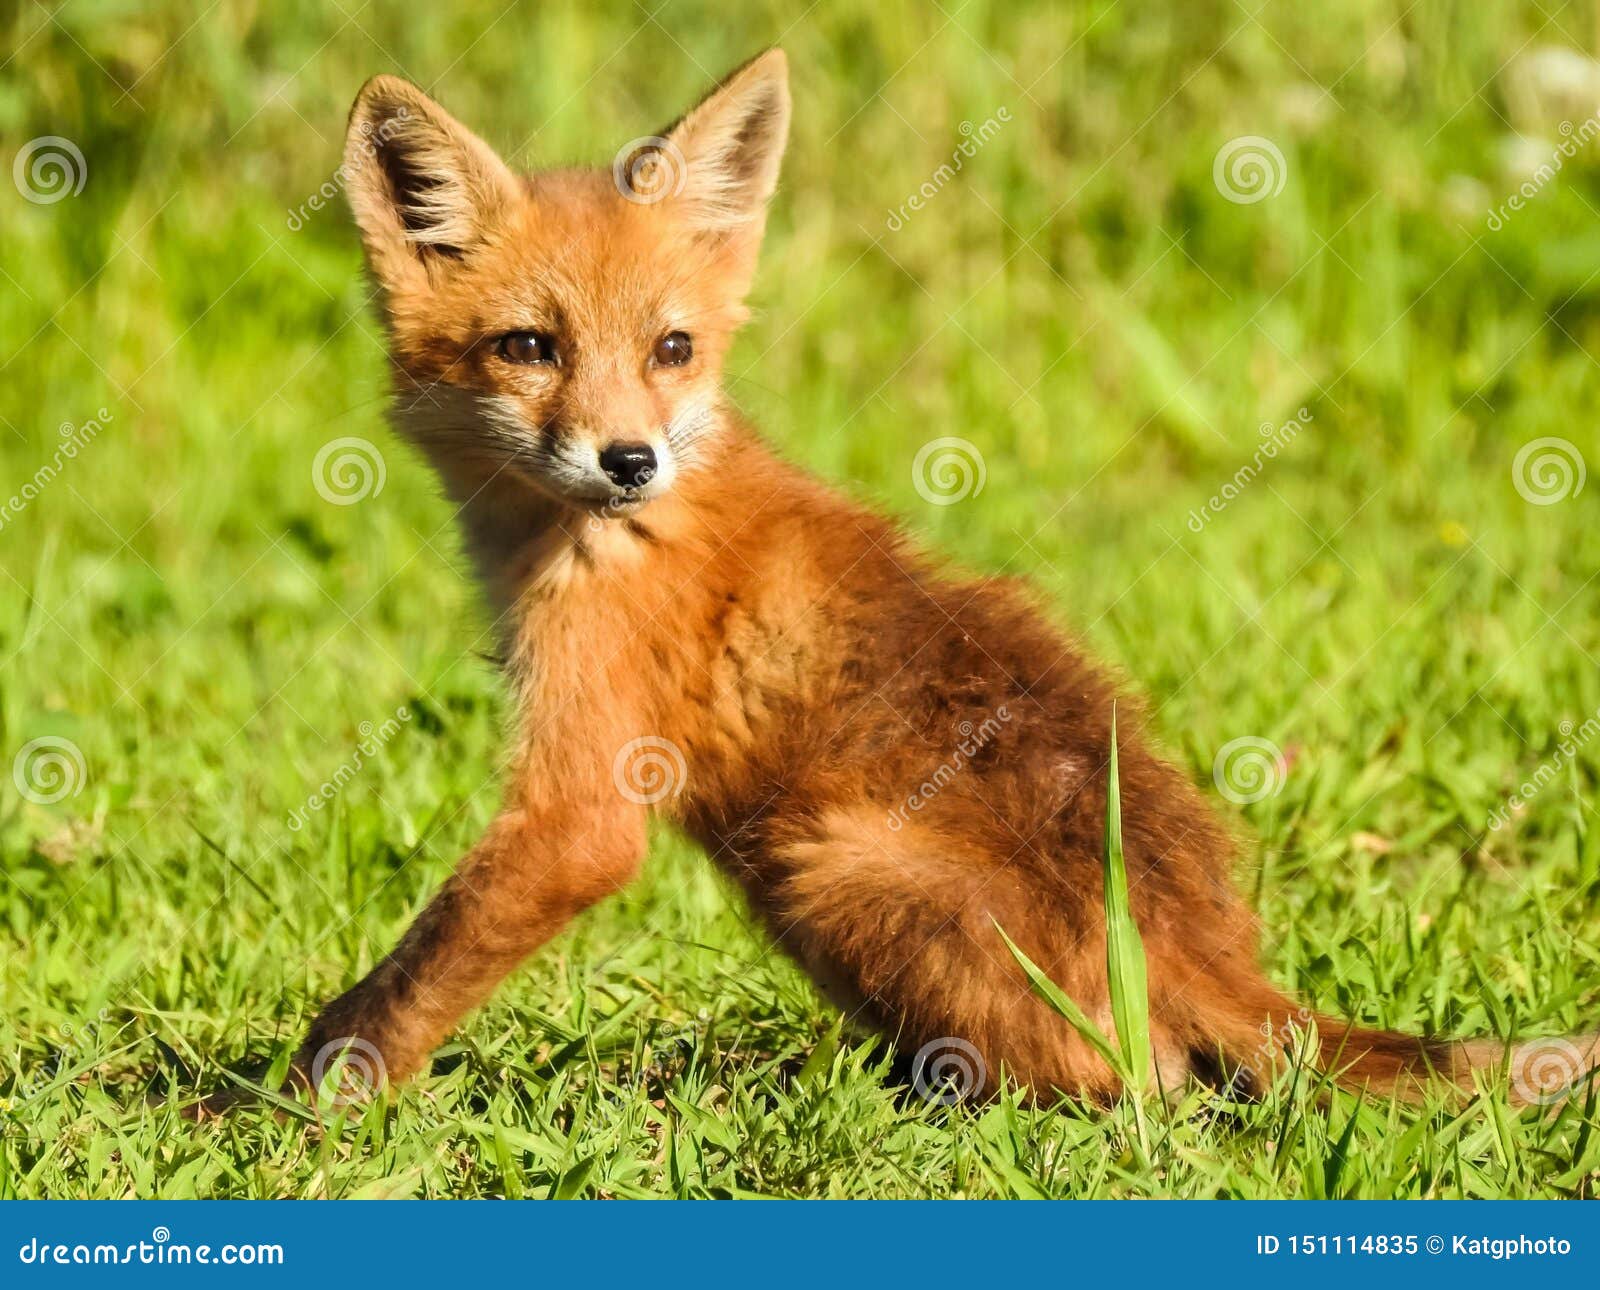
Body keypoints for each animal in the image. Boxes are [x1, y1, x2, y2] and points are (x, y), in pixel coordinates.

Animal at [259, 50, 1587, 1113]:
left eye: (671, 349)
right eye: (528, 347)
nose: (628, 459)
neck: (598, 538)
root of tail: (1213, 952)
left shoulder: (580, 814)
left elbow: (397, 993)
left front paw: (286, 1110)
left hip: (825, 861)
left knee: (1143, 1085)